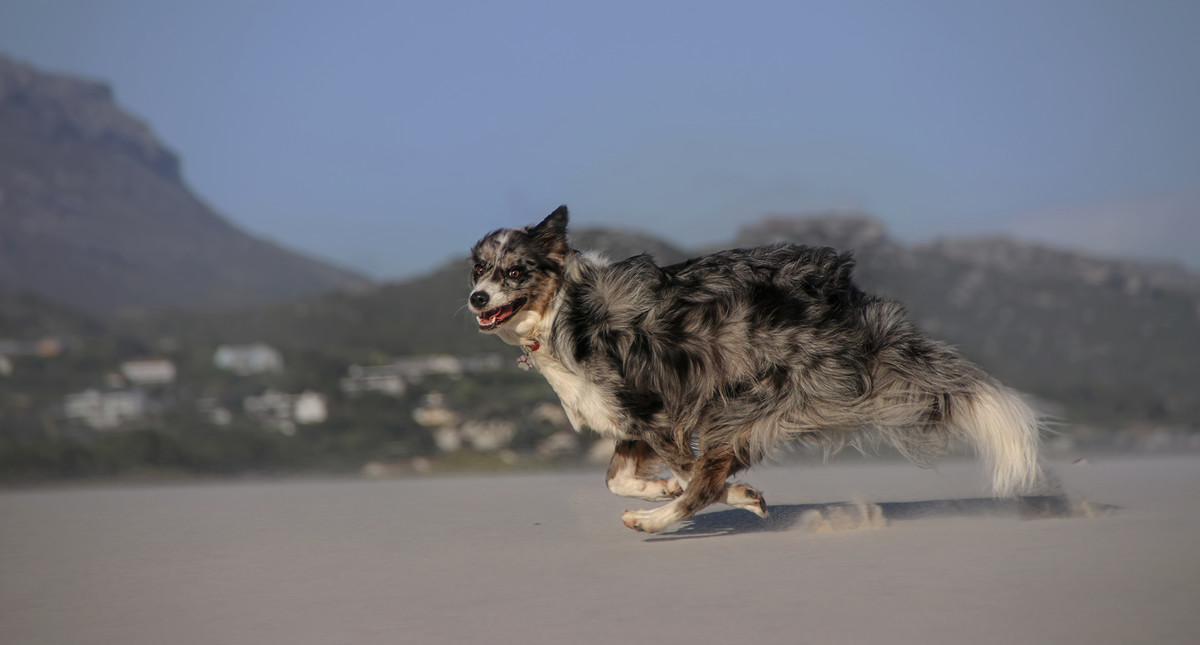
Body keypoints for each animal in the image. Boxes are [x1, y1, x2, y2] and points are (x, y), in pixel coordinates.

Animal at [468, 206, 1041, 532]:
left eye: (515, 272)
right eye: (478, 268)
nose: (476, 298)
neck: (562, 312)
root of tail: (848, 303)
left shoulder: (659, 414)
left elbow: (691, 475)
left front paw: (727, 495)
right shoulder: (633, 416)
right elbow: (618, 478)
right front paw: (661, 488)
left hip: (740, 402)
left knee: (705, 478)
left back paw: (652, 522)